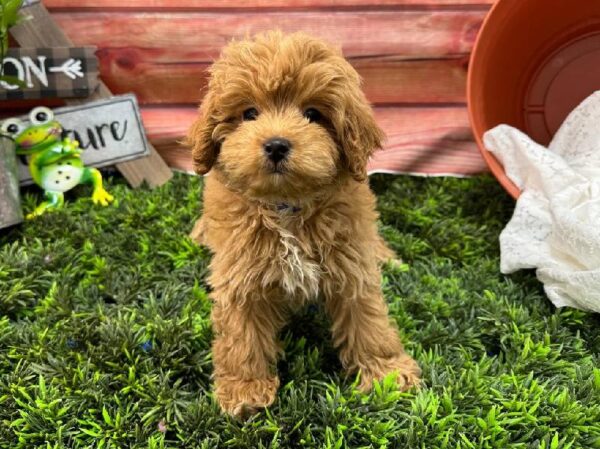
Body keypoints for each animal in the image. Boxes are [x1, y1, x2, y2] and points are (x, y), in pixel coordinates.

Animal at [189, 30, 422, 416]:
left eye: (312, 114)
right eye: (249, 113)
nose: (276, 145)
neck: (287, 207)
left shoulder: (352, 260)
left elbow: (368, 317)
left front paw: (385, 372)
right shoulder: (239, 273)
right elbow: (241, 334)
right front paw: (245, 389)